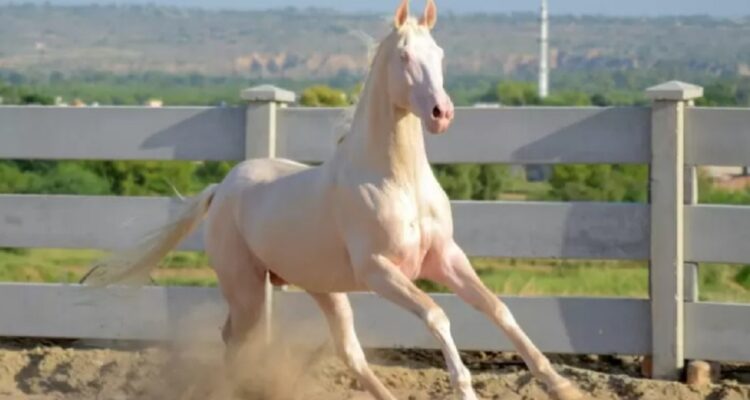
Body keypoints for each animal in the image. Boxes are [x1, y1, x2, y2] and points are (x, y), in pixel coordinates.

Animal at [82, 1, 583, 399]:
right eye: (404, 56)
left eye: (440, 54)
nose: (442, 114)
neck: (396, 180)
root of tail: (221, 189)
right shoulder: (381, 271)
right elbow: (437, 315)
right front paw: (465, 389)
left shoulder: (444, 257)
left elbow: (497, 308)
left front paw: (562, 386)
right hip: (247, 288)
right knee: (236, 340)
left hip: (323, 288)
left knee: (349, 353)